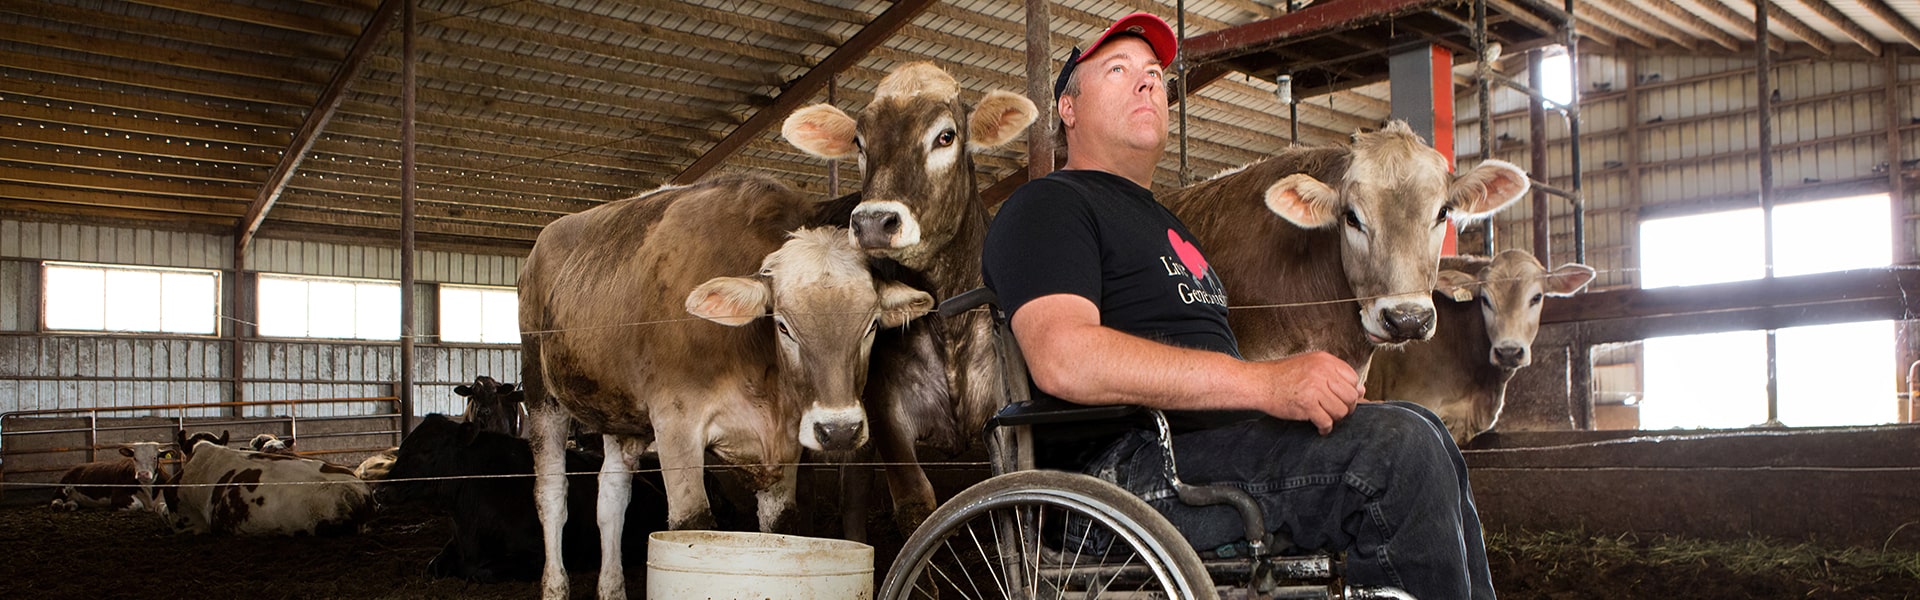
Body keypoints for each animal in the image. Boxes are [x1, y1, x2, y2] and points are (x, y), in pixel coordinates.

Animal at [374, 411, 675, 580]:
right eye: (403, 446)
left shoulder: (538, 555)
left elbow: (479, 571)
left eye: (427, 450)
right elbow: (433, 566)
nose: (379, 490)